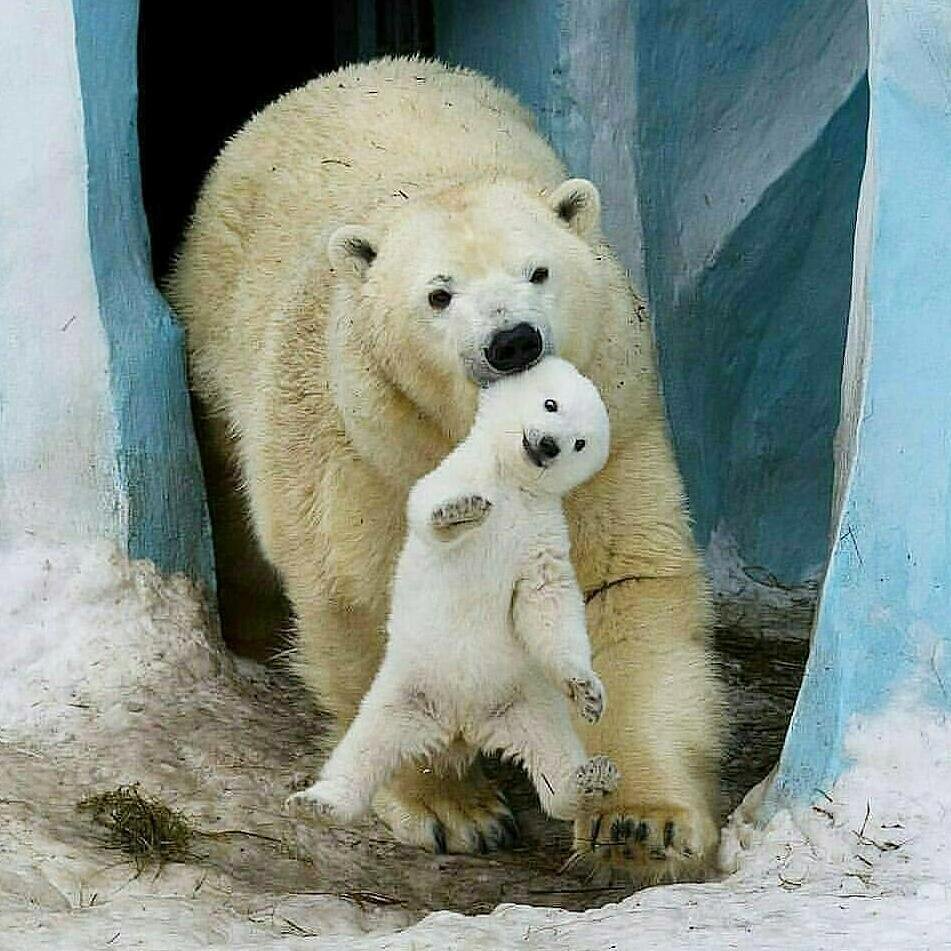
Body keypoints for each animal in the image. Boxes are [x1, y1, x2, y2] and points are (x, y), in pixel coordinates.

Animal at [285, 357, 618, 829]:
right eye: (550, 403)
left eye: (580, 442)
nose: (548, 445)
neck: (512, 484)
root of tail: (463, 725)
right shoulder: (456, 472)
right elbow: (427, 507)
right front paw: (459, 511)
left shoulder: (541, 533)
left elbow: (546, 599)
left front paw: (587, 692)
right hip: (404, 692)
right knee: (363, 748)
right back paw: (320, 802)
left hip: (524, 702)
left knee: (553, 759)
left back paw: (590, 781)